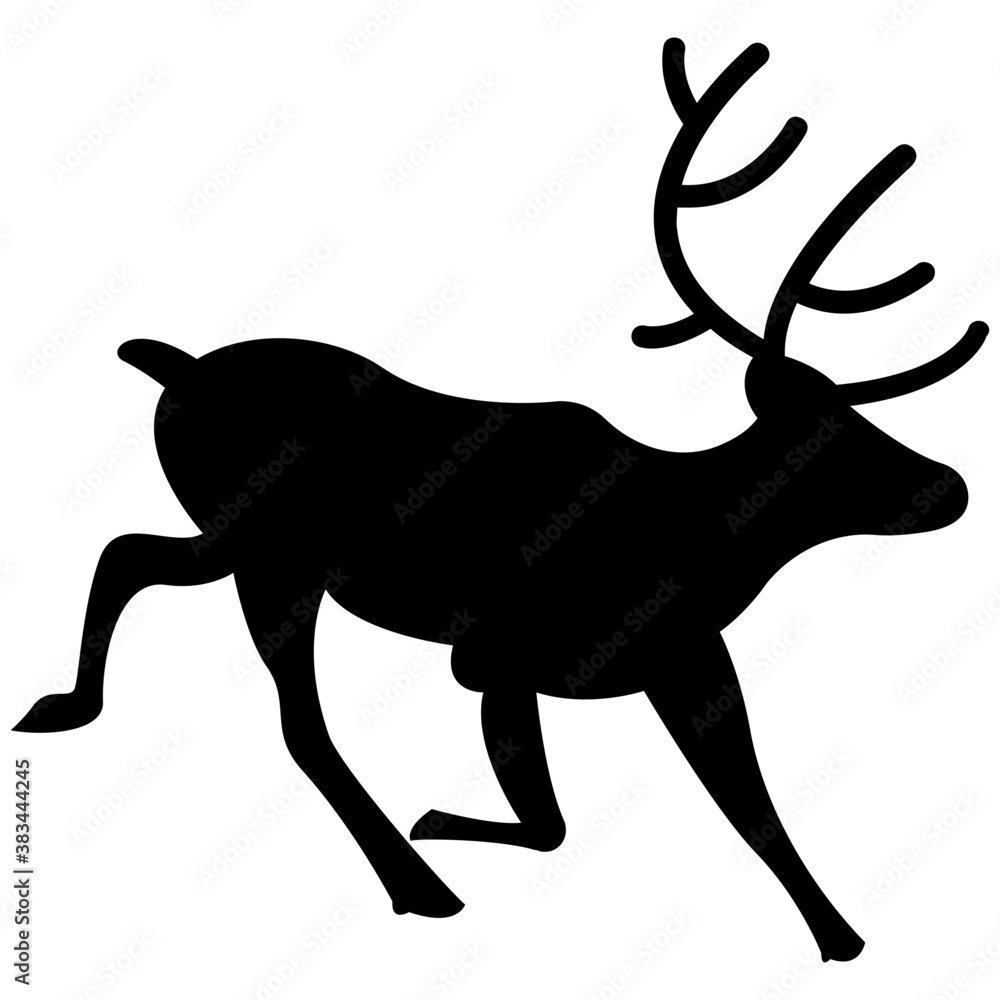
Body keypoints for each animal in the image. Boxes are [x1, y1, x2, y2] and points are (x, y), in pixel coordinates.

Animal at [13, 38, 988, 963]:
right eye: (837, 441)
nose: (953, 487)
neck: (698, 537)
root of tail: (171, 369)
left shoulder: (685, 659)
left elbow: (755, 812)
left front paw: (841, 938)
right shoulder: (494, 654)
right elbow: (550, 823)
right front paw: (442, 820)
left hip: (253, 547)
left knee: (165, 585)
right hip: (266, 545)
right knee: (211, 635)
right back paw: (411, 877)